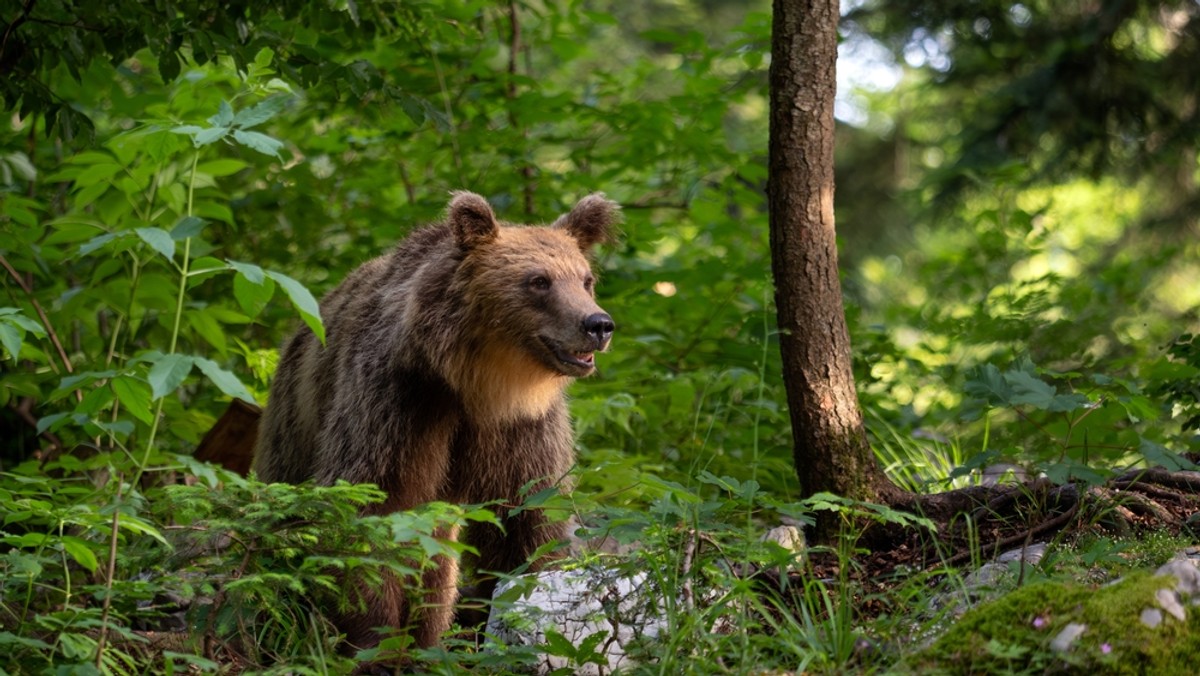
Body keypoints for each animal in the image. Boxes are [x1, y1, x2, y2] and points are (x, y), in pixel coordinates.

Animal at [253, 189, 619, 648]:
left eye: (585, 279)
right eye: (538, 281)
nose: (598, 324)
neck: (479, 385)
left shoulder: (522, 429)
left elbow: (529, 519)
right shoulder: (399, 403)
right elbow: (374, 507)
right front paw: (377, 639)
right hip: (296, 421)